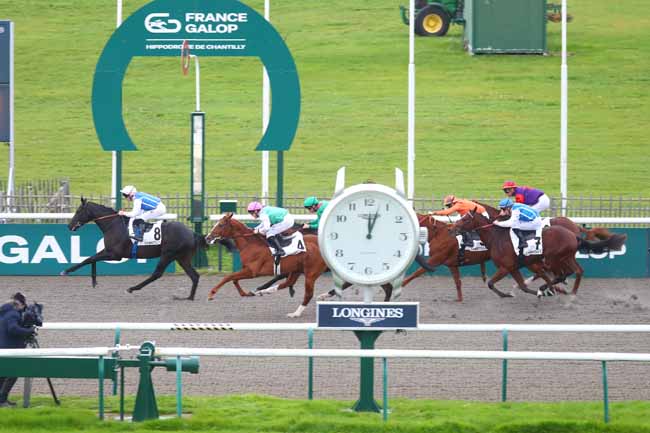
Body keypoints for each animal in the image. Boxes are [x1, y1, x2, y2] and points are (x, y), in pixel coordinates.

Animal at [62, 197, 206, 298]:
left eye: (78, 211)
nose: (69, 226)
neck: (113, 225)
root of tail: (192, 233)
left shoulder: (115, 254)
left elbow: (89, 259)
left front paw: (67, 271)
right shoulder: (108, 251)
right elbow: (92, 258)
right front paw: (94, 281)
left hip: (168, 254)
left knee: (157, 274)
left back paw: (132, 288)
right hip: (182, 258)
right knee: (194, 276)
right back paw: (189, 297)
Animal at [448, 209, 624, 296]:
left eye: (465, 219)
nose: (451, 228)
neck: (497, 236)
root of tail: (573, 232)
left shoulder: (506, 267)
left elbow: (491, 283)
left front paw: (509, 294)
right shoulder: (514, 267)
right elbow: (521, 286)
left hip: (554, 258)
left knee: (561, 274)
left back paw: (549, 289)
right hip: (566, 257)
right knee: (576, 271)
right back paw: (569, 292)